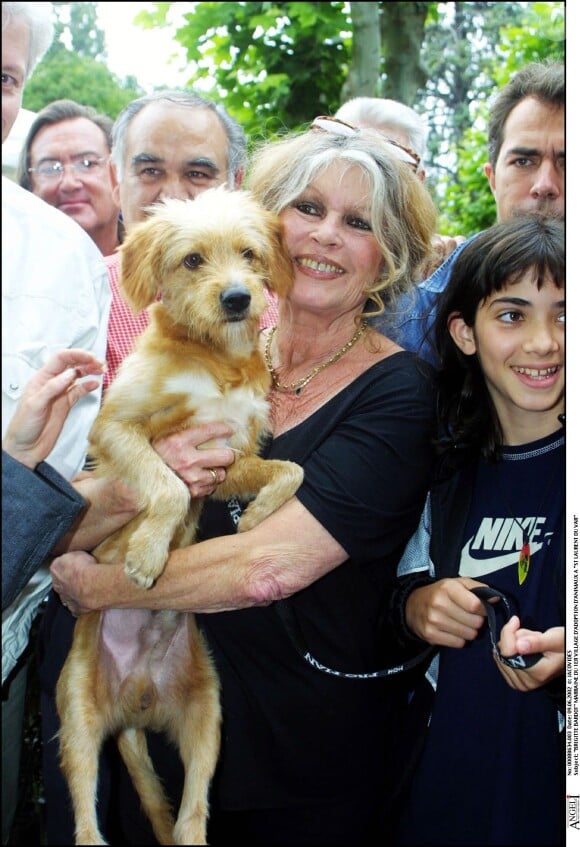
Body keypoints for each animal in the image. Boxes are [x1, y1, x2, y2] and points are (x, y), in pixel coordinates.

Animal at [55, 189, 304, 844]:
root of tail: (136, 703)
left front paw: (258, 516)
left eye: (249, 254)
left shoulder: (230, 458)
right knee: (86, 824)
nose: (238, 298)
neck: (211, 355)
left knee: (192, 813)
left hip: (207, 719)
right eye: (193, 260)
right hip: (78, 722)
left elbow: (291, 471)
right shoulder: (117, 430)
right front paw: (146, 554)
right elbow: (165, 484)